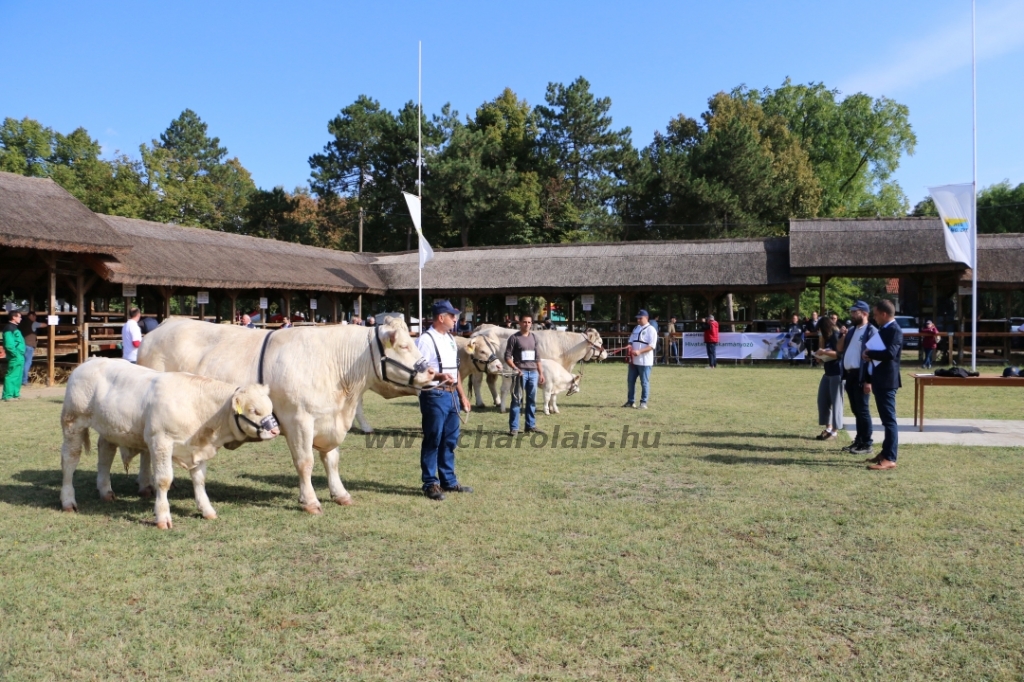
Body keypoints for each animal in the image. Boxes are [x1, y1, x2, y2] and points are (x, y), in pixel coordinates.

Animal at [61, 358, 278, 528]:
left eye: (270, 408)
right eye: (254, 410)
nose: (275, 430)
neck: (195, 405)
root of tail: (90, 361)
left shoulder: (199, 448)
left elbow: (199, 480)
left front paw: (207, 509)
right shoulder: (161, 441)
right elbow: (164, 480)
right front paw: (163, 517)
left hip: (109, 428)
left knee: (105, 455)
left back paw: (106, 491)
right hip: (73, 423)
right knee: (69, 461)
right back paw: (68, 501)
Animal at [138, 315, 434, 512]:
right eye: (404, 346)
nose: (432, 371)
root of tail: (164, 325)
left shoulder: (329, 420)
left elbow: (332, 460)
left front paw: (340, 494)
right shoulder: (299, 420)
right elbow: (305, 462)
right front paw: (310, 501)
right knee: (145, 450)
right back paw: (147, 486)